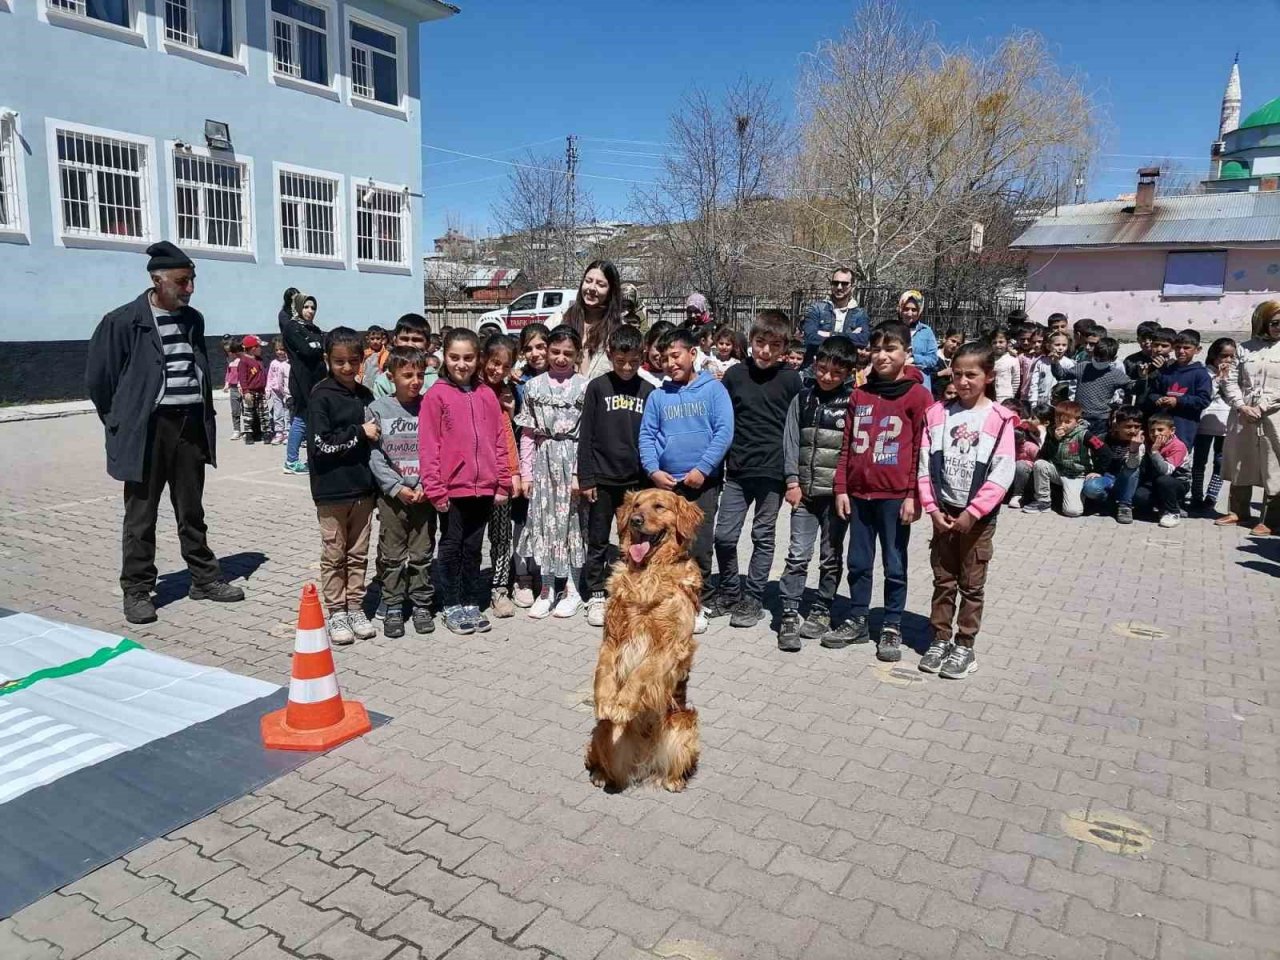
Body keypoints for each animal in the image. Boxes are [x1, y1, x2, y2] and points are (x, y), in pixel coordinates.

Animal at [586, 491, 706, 793]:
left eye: (659, 506)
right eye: (636, 505)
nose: (636, 520)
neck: (647, 574)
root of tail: (644, 761)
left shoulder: (669, 647)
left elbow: (640, 674)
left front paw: (622, 705)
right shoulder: (612, 638)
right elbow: (603, 671)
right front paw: (605, 701)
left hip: (684, 726)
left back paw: (674, 781)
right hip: (603, 733)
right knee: (604, 760)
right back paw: (600, 774)